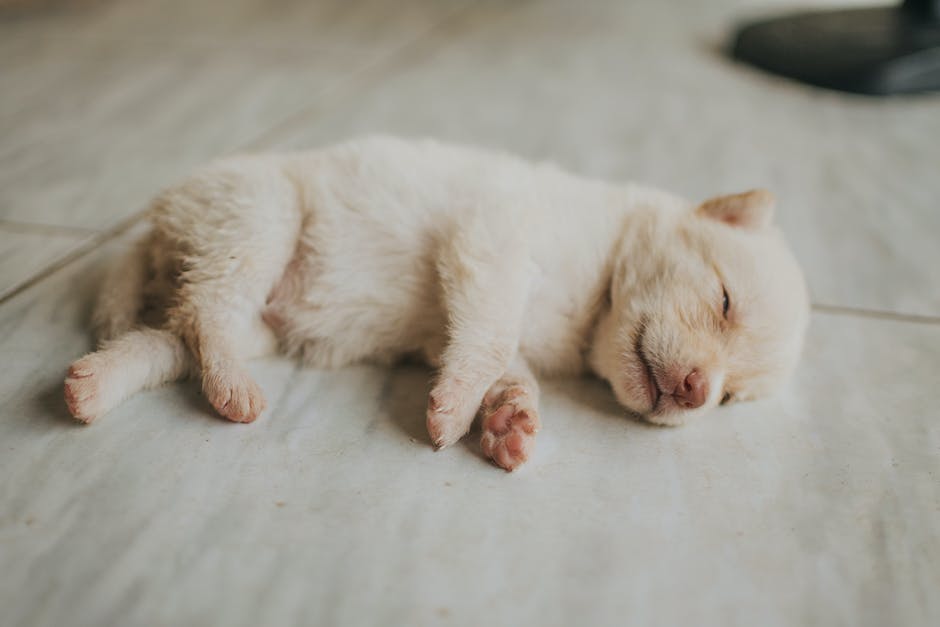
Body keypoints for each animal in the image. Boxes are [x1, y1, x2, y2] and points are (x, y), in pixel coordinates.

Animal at [64, 137, 808, 472]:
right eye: (724, 300)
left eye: (730, 398)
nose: (695, 391)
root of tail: (159, 224)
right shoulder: (491, 244)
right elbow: (490, 336)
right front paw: (454, 410)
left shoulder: (489, 304)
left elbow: (509, 365)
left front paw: (511, 419)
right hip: (258, 220)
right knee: (205, 317)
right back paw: (231, 387)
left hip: (246, 305)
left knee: (172, 334)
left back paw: (94, 384)